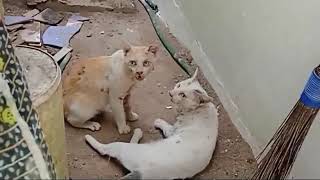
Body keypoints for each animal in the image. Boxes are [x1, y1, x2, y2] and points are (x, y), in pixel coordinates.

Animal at [84, 68, 219, 179]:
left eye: (183, 95)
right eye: (179, 85)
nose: (170, 93)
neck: (200, 109)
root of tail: (141, 173)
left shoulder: (172, 131)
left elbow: (165, 125)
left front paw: (158, 121)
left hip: (123, 148)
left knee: (104, 149)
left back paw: (89, 137)